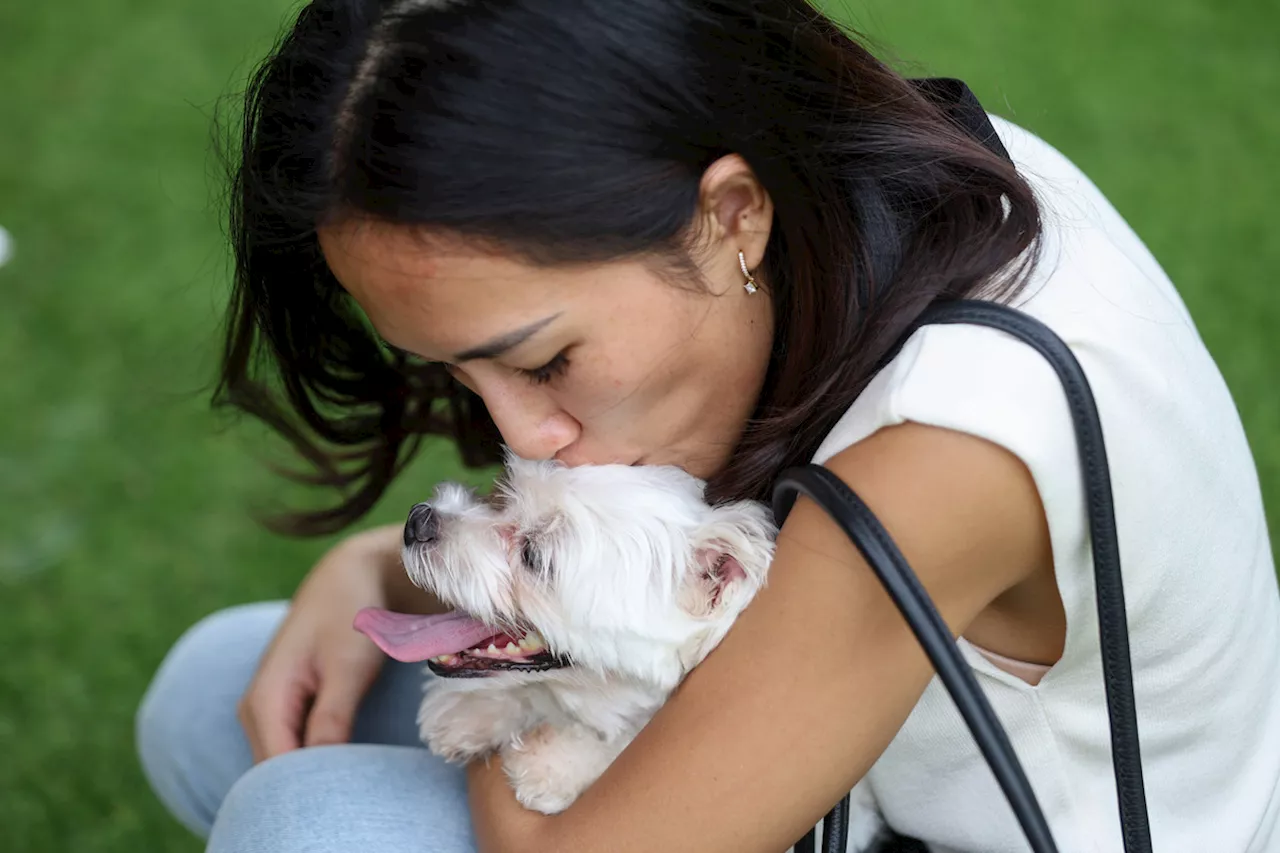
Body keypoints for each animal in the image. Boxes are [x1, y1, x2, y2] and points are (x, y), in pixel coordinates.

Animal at [355, 455, 885, 840]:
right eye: (505, 499)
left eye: (533, 555)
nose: (418, 519)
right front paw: (471, 712)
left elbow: (630, 735)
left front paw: (552, 764)